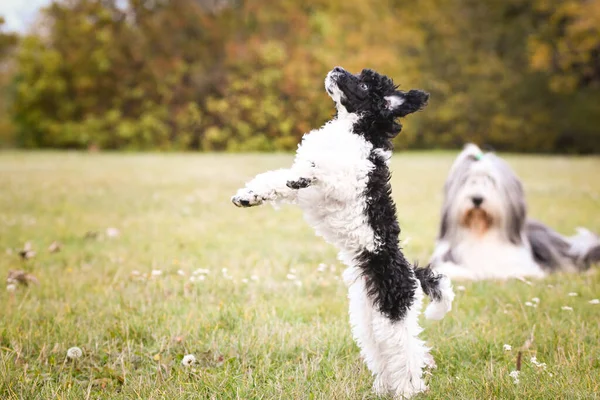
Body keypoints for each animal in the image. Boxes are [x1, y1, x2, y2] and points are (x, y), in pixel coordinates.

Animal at [232, 65, 452, 396]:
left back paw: (408, 391)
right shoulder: (309, 194)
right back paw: (383, 389)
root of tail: (411, 273)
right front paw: (250, 195)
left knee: (409, 354)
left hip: (394, 312)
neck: (353, 131)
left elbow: (318, 170)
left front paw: (303, 174)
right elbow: (279, 180)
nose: (336, 69)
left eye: (364, 84)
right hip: (368, 320)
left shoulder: (347, 179)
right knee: (386, 355)